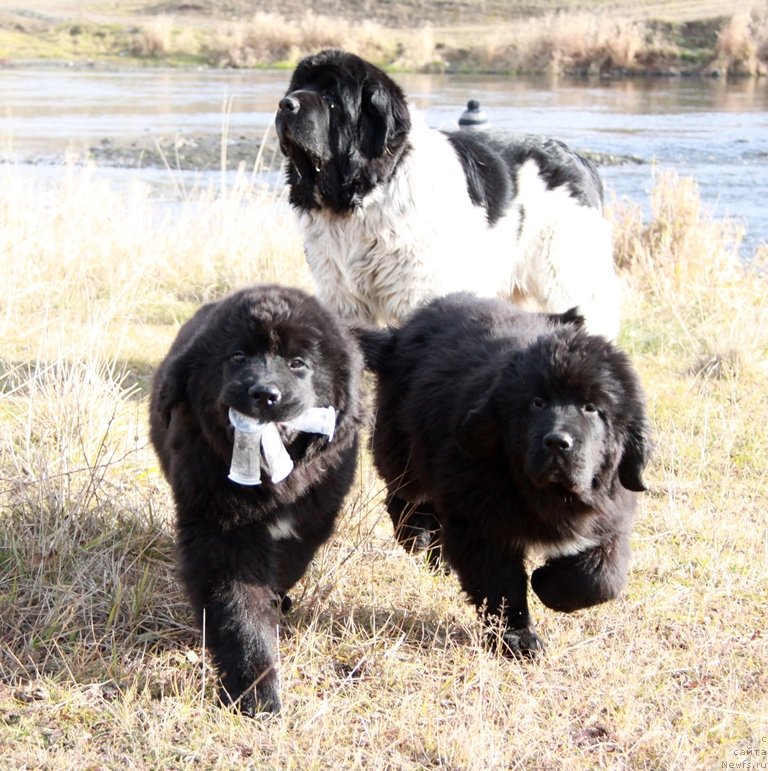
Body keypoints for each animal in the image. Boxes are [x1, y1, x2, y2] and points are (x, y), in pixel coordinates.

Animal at [152, 286, 366, 716]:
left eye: (298, 363)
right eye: (237, 356)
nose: (264, 394)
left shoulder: (312, 520)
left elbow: (285, 567)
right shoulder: (220, 531)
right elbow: (240, 609)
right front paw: (255, 691)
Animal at [278, 48, 624, 338]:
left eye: (330, 95)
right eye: (295, 87)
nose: (285, 104)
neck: (369, 193)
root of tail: (581, 160)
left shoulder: (420, 290)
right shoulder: (342, 294)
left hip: (568, 276)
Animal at [356, 296, 652, 656]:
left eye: (591, 407)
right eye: (536, 402)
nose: (557, 442)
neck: (547, 495)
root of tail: (402, 332)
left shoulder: (609, 517)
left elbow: (602, 578)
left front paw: (547, 585)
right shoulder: (482, 524)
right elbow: (500, 586)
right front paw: (518, 639)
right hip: (403, 445)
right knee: (403, 494)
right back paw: (417, 535)